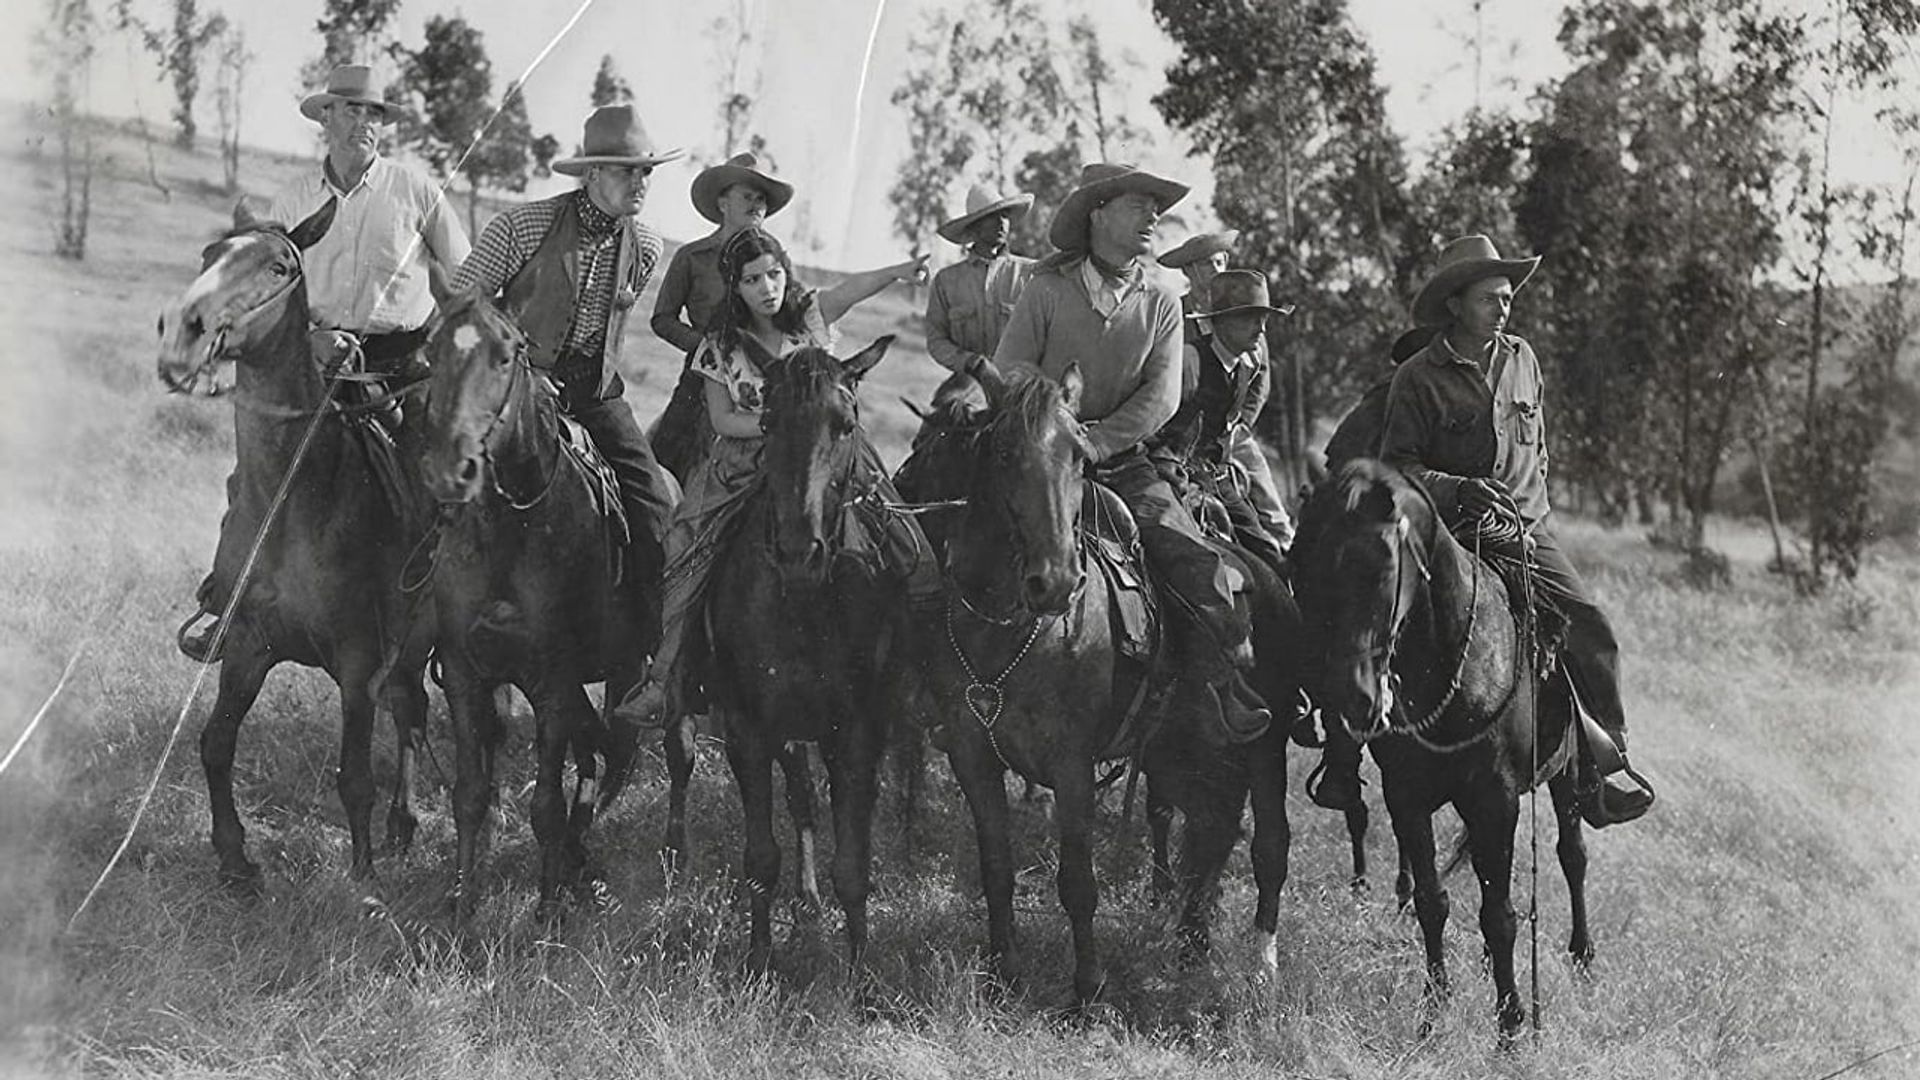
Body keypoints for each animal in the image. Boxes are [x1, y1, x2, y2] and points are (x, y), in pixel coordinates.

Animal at [155, 203, 433, 891]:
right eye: (210, 255)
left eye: (279, 266)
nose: (181, 334)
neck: (297, 500)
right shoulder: (247, 644)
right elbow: (215, 744)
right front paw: (235, 860)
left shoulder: (359, 664)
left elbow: (354, 777)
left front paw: (364, 883)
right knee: (411, 710)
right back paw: (402, 825)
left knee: (422, 716)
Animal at [416, 292, 664, 914]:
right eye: (431, 351)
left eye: (506, 356)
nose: (451, 468)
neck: (511, 531)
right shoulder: (465, 674)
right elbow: (470, 794)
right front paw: (463, 904)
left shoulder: (552, 679)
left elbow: (546, 805)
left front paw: (547, 911)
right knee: (594, 750)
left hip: (628, 671)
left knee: (620, 753)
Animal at [706, 334, 913, 968]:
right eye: (767, 423)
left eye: (845, 425)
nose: (800, 554)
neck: (803, 603)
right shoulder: (748, 729)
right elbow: (760, 856)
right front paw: (758, 960)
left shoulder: (858, 732)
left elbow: (853, 864)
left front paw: (862, 971)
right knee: (800, 800)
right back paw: (806, 899)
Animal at [902, 363, 1297, 999]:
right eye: (1003, 451)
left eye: (1079, 457)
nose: (1056, 580)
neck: (1011, 630)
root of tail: (1263, 573)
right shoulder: (971, 752)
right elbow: (996, 867)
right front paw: (1005, 972)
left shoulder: (1071, 763)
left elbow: (1077, 881)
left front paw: (1086, 989)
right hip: (1185, 753)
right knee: (1208, 834)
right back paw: (1191, 946)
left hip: (1265, 746)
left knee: (1268, 846)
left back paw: (1261, 967)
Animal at [1290, 457, 1589, 1037]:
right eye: (1307, 567)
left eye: (1381, 569)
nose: (1352, 697)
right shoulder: (1407, 796)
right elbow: (1435, 900)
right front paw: (1434, 1008)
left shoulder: (1495, 798)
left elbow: (1499, 914)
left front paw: (1511, 1024)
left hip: (1564, 776)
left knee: (1572, 856)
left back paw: (1583, 956)